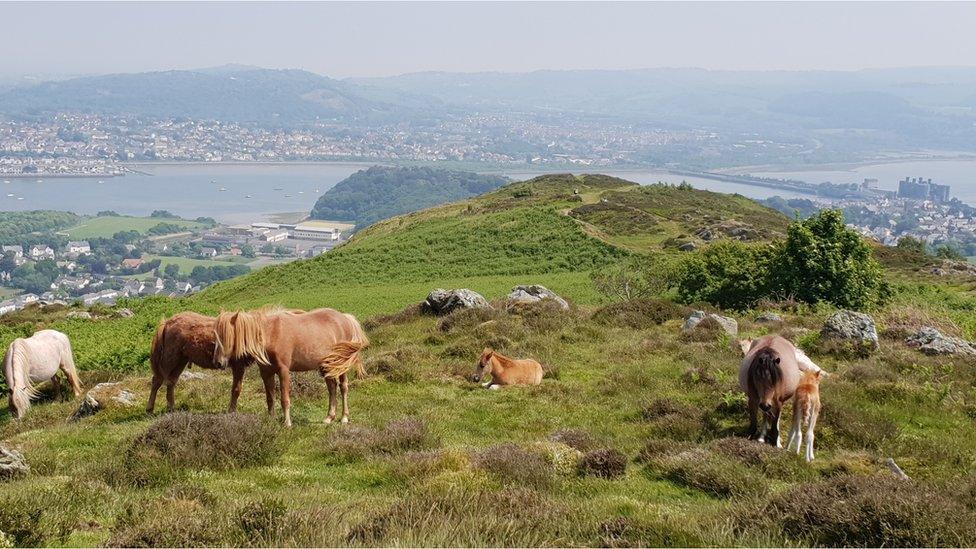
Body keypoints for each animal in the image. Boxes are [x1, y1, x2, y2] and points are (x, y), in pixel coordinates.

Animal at [212, 306, 368, 426]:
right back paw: (329, 417)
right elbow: (270, 398)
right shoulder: (266, 373)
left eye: (225, 336)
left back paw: (344, 418)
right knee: (332, 388)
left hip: (341, 365)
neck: (272, 333)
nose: (218, 362)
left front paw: (287, 423)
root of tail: (345, 318)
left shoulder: (284, 371)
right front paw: (271, 420)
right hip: (327, 366)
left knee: (343, 387)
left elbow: (284, 399)